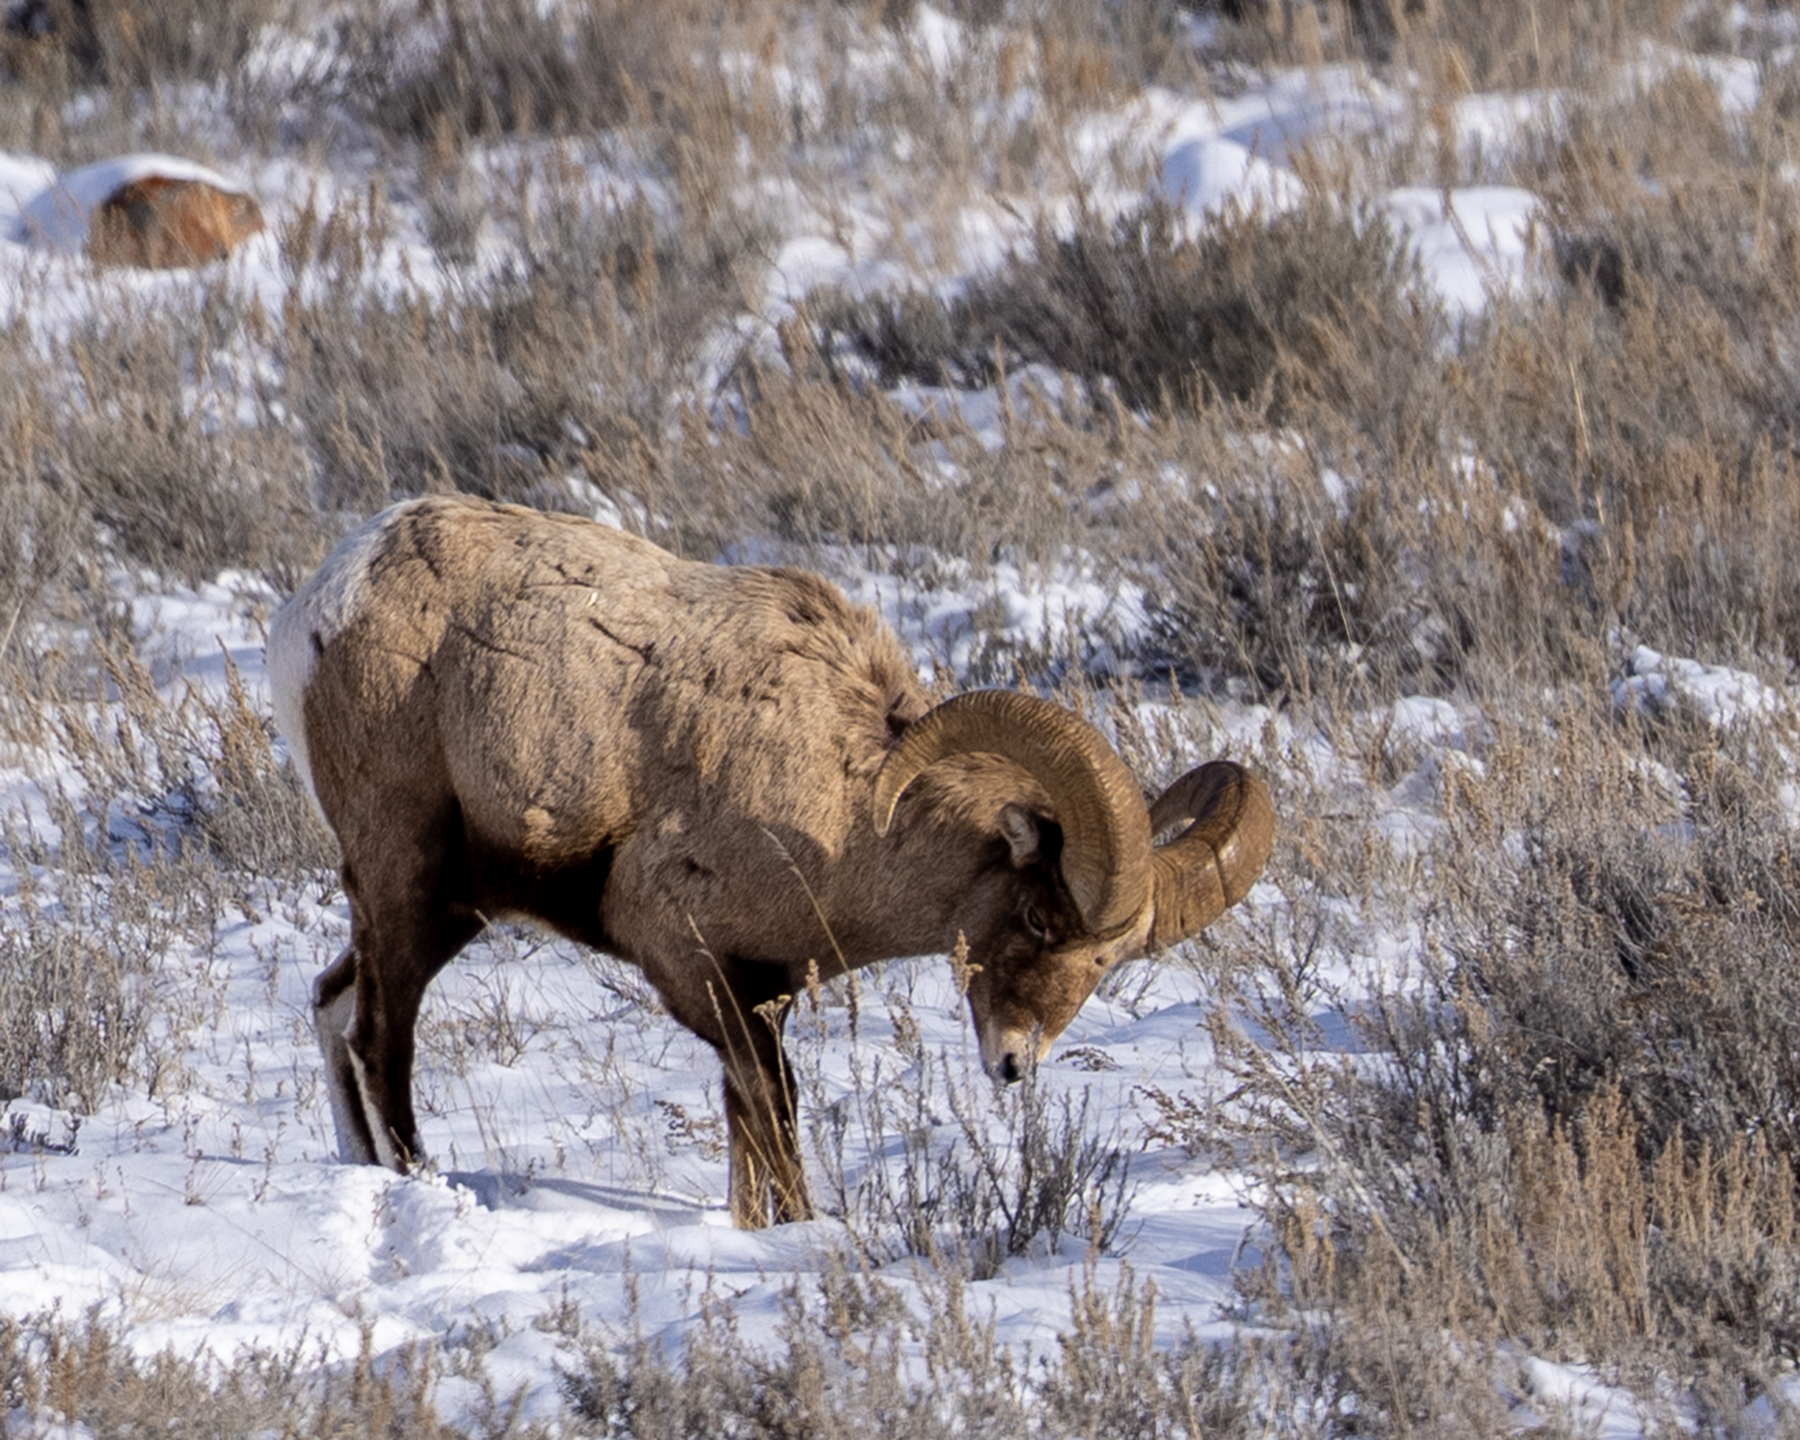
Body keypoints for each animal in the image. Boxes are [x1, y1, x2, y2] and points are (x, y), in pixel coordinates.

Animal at [267, 495, 1274, 1227]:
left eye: (1106, 962)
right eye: (1035, 918)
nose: (1014, 1066)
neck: (841, 809)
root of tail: (319, 607)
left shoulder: (763, 991)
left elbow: (748, 1139)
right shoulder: (701, 971)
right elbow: (775, 1118)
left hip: (448, 910)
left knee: (332, 1005)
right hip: (408, 887)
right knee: (377, 1039)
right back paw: (421, 1187)